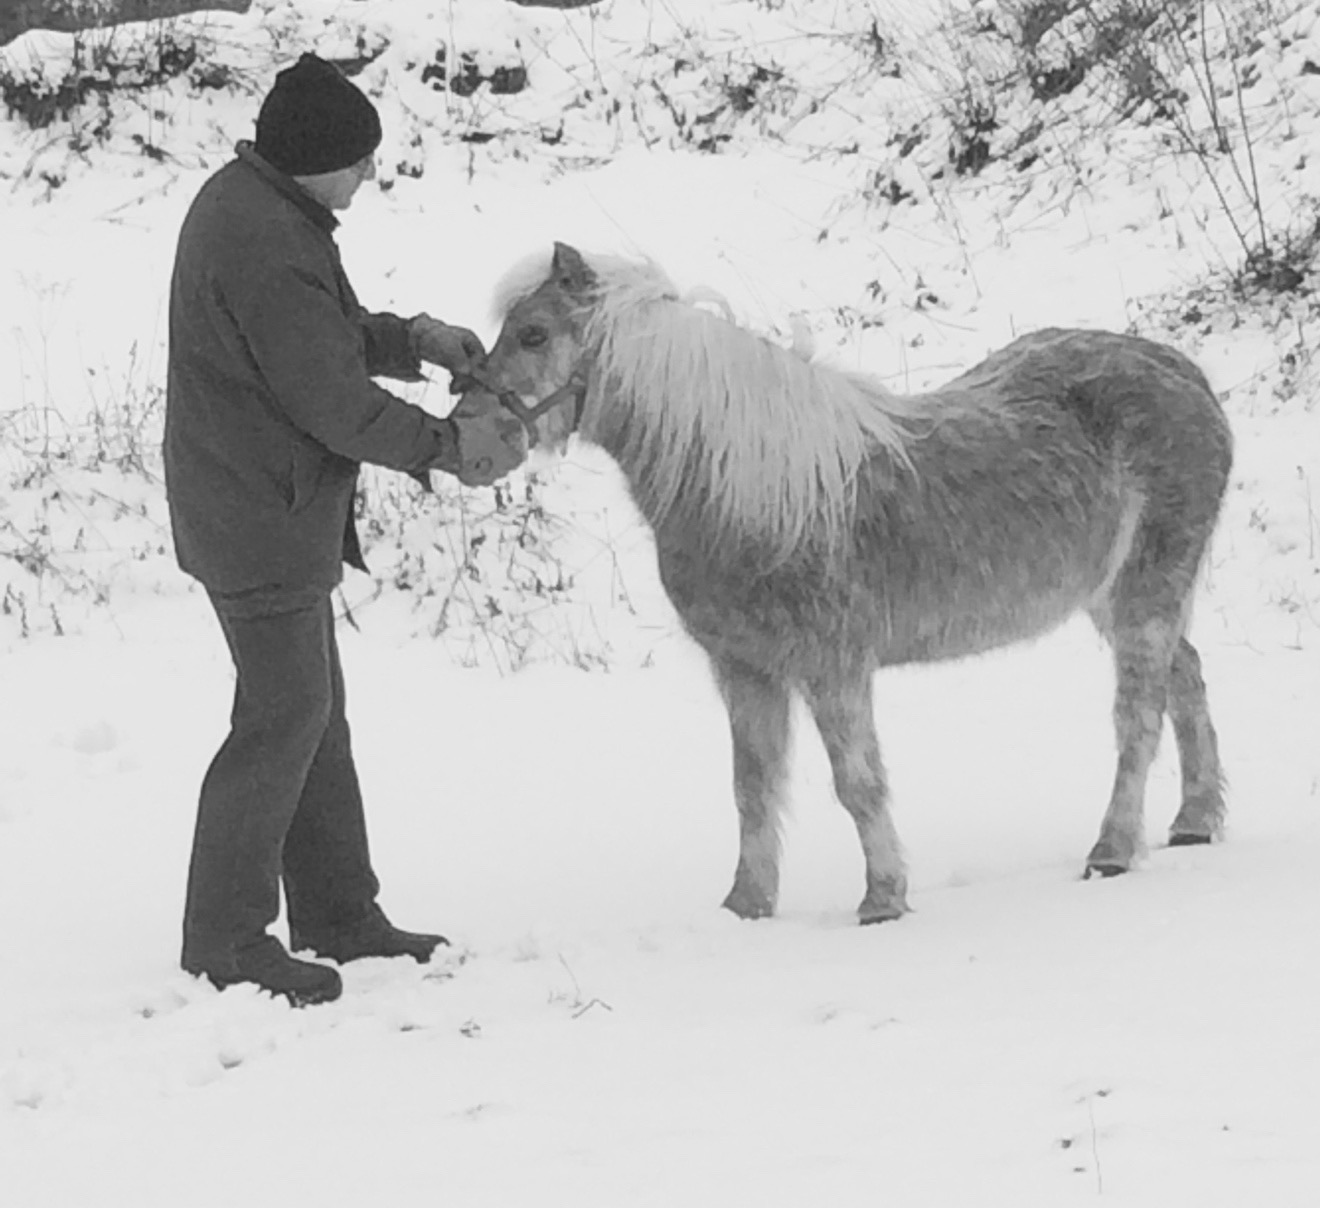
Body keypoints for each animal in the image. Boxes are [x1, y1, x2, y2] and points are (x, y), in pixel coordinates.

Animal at [454, 241, 1233, 924]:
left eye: (532, 333)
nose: (473, 438)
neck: (752, 490)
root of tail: (1183, 370)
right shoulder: (745, 669)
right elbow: (753, 787)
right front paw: (746, 907)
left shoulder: (835, 667)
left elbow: (857, 783)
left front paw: (882, 899)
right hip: (1114, 596)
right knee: (1188, 678)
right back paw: (1195, 821)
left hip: (1147, 590)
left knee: (1139, 717)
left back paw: (1112, 850)